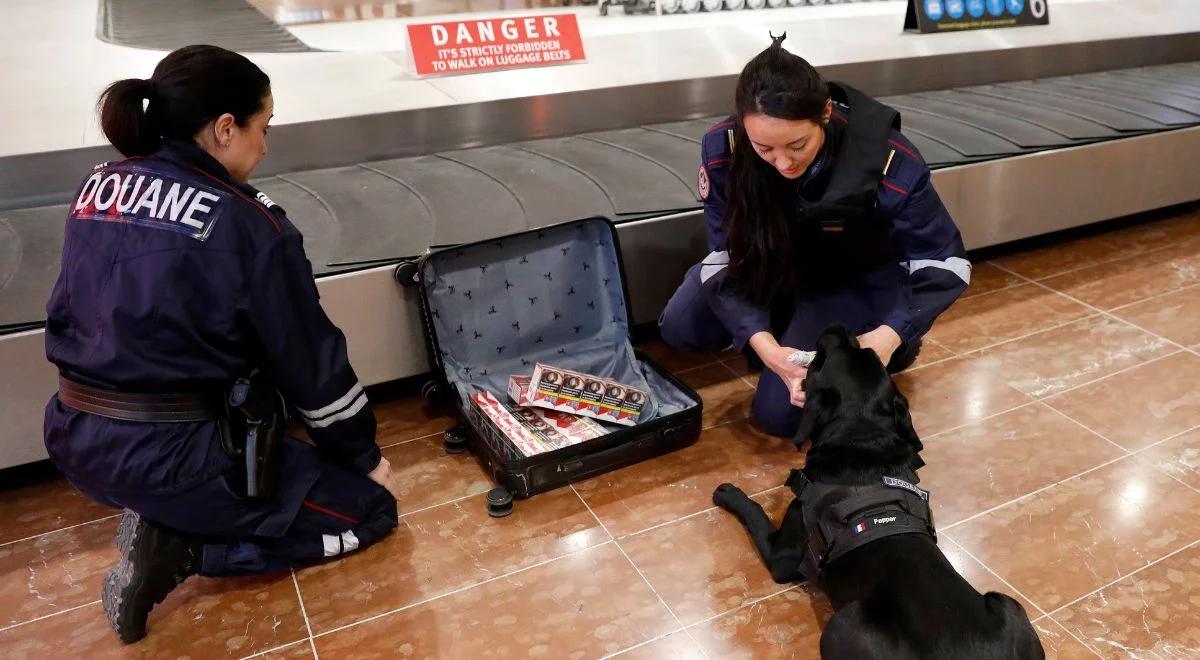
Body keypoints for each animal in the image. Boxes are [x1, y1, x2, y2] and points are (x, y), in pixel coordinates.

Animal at [710, 326, 1041, 660]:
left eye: (823, 359)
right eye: (866, 352)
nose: (838, 327)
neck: (860, 435)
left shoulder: (784, 554)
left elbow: (755, 512)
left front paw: (729, 492)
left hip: (843, 622)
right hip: (1010, 604)